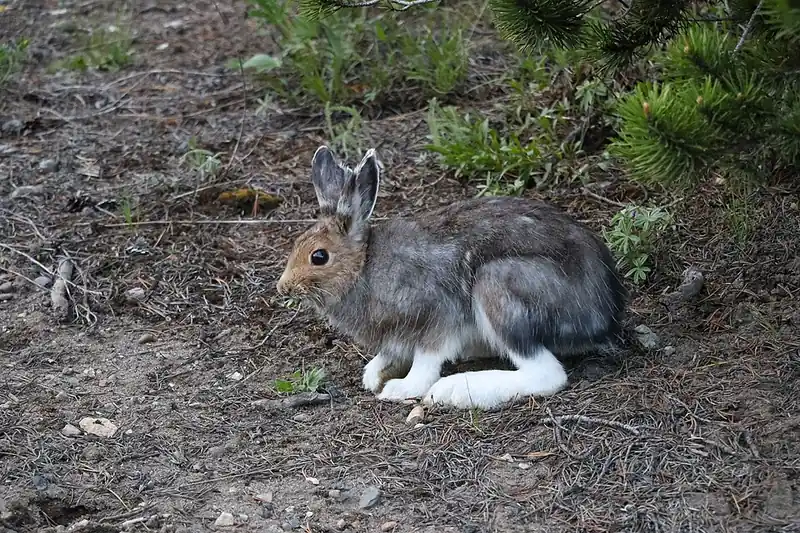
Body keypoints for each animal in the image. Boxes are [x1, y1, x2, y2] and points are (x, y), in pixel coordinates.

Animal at [276, 146, 628, 410]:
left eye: (319, 256)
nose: (284, 287)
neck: (363, 266)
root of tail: (605, 315)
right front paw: (374, 375)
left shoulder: (436, 315)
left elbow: (426, 362)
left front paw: (401, 388)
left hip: (499, 286)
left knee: (547, 374)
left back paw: (458, 390)